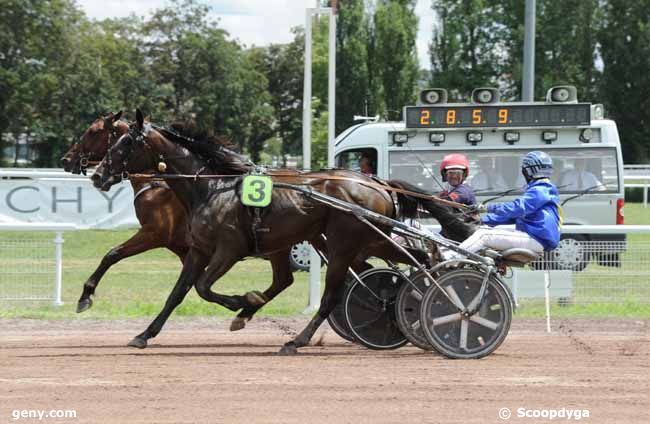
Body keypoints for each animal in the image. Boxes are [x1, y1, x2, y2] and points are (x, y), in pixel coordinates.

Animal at [93, 107, 474, 352]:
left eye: (125, 143)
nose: (97, 175)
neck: (212, 185)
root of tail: (377, 182)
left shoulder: (228, 249)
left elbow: (203, 288)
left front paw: (244, 301)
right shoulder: (199, 249)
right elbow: (178, 292)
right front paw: (144, 335)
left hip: (344, 245)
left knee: (332, 295)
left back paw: (297, 340)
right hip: (371, 240)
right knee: (421, 258)